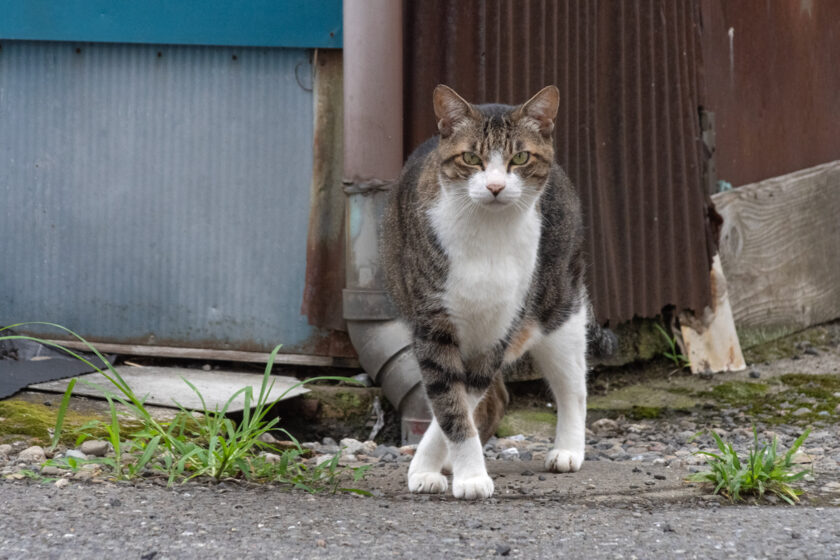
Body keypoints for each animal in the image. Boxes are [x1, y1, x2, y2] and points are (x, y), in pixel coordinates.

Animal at [380, 84, 592, 498]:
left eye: (520, 157)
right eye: (471, 158)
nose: (495, 187)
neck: (489, 236)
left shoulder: (499, 329)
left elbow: (460, 400)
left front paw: (456, 472)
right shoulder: (433, 324)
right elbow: (451, 405)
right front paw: (450, 471)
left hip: (560, 306)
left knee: (572, 383)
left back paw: (568, 450)